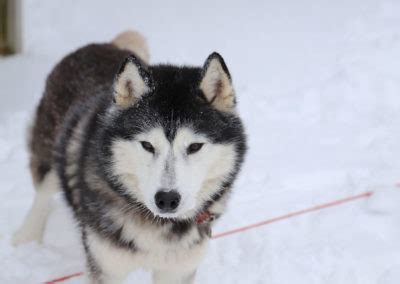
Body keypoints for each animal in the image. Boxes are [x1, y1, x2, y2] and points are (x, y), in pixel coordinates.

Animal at [14, 31, 247, 284]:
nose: (167, 199)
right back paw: (26, 236)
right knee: (42, 194)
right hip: (49, 156)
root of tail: (100, 45)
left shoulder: (177, 269)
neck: (156, 223)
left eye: (195, 146)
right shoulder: (106, 267)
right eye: (147, 145)